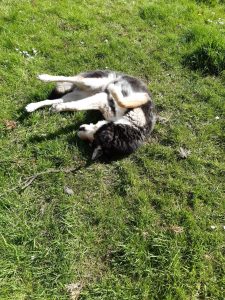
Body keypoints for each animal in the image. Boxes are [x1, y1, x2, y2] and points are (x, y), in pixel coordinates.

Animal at [25, 69, 156, 159]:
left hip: (79, 94)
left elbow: (76, 106)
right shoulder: (138, 98)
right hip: (91, 82)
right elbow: (120, 100)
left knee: (55, 100)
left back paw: (32, 107)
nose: (79, 129)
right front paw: (113, 90)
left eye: (93, 142)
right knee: (69, 78)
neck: (134, 125)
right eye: (99, 134)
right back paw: (44, 77)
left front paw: (58, 108)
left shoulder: (103, 102)